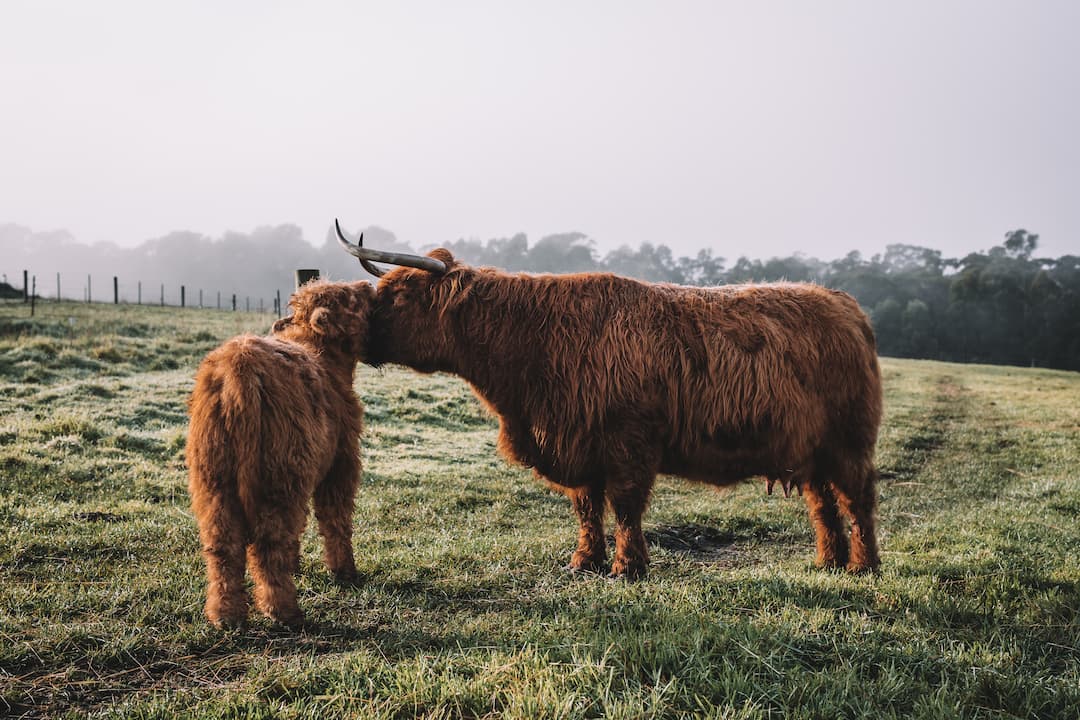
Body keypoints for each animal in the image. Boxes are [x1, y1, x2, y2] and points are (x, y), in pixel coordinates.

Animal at [190, 278, 380, 626]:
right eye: (349, 298)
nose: (366, 285)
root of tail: (240, 365)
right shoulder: (342, 461)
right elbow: (335, 518)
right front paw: (344, 571)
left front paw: (298, 564)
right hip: (279, 475)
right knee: (269, 542)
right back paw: (284, 611)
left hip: (213, 477)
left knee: (222, 545)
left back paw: (226, 614)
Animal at [334, 222, 876, 578]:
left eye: (400, 296)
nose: (360, 333)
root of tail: (842, 302)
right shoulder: (575, 441)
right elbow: (586, 506)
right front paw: (584, 561)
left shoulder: (627, 441)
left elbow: (626, 506)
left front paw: (627, 566)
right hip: (810, 449)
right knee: (823, 503)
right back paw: (828, 562)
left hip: (849, 440)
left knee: (858, 499)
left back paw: (862, 566)